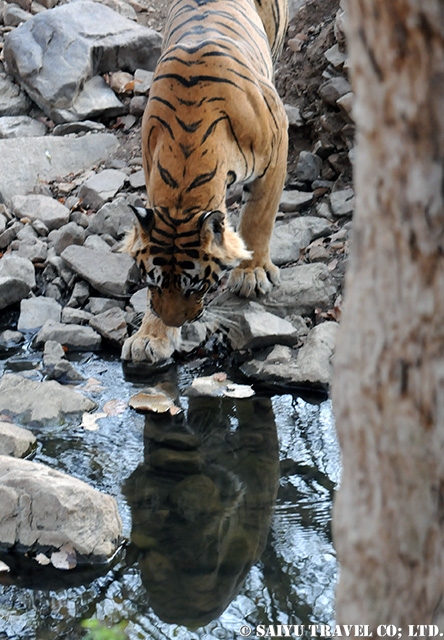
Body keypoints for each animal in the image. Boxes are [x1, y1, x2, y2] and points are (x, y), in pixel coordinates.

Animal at [121, 0, 290, 362]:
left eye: (195, 285)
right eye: (152, 282)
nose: (174, 321)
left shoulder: (276, 147)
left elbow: (259, 216)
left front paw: (252, 273)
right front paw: (150, 337)